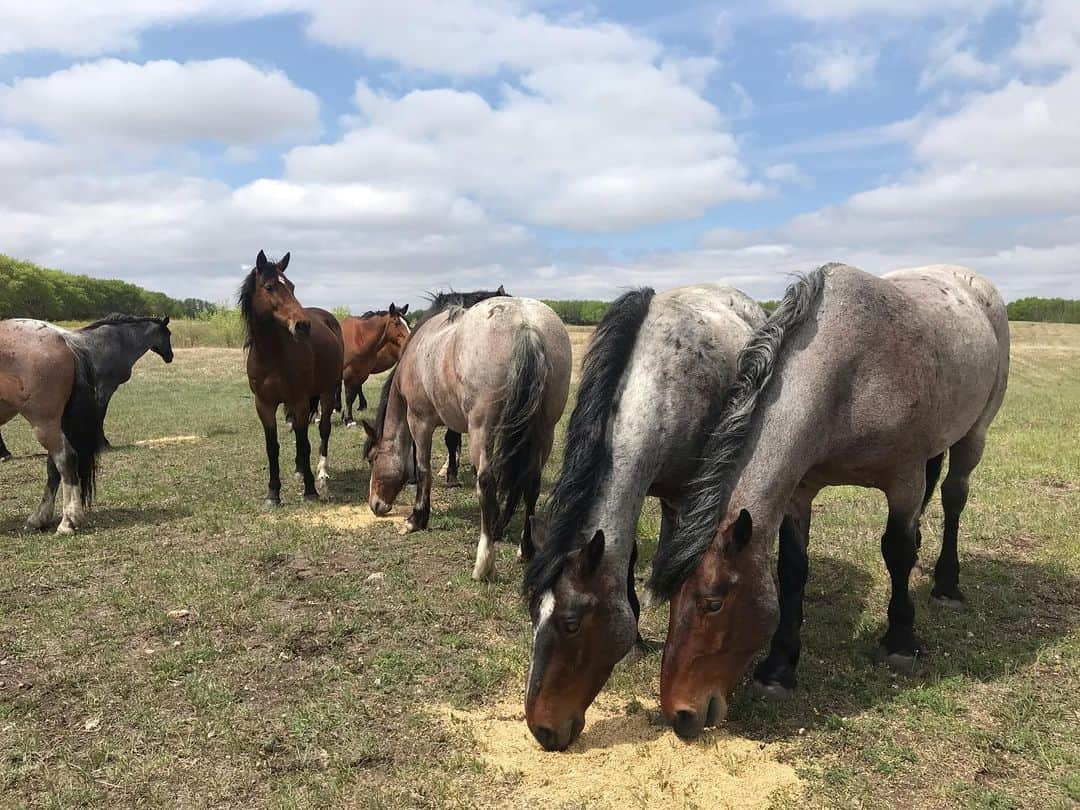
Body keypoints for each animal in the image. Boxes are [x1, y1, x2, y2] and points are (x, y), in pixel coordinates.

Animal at [0, 319, 105, 535]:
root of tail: (62, 337)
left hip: (44, 422)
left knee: (65, 460)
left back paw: (68, 521)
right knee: (53, 466)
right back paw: (39, 519)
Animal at [241, 250, 343, 505]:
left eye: (292, 286)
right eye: (269, 287)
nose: (303, 325)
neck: (272, 356)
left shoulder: (300, 400)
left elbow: (304, 443)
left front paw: (310, 490)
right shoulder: (264, 405)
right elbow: (272, 447)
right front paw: (273, 493)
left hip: (327, 393)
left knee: (323, 430)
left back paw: (321, 473)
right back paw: (298, 470)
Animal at [362, 291, 570, 583]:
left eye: (373, 459)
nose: (375, 505)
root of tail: (525, 326)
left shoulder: (420, 421)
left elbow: (423, 469)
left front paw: (416, 519)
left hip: (482, 429)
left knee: (487, 483)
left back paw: (484, 563)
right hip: (544, 430)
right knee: (531, 483)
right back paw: (525, 548)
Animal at [520, 287, 768, 756]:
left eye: (571, 624)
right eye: (532, 615)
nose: (540, 731)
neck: (659, 389)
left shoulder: (690, 492)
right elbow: (631, 556)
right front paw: (636, 641)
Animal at [648, 266, 1010, 743]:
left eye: (713, 602)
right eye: (671, 600)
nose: (680, 714)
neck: (850, 373)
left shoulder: (904, 480)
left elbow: (896, 551)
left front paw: (900, 641)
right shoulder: (800, 492)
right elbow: (792, 571)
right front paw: (779, 670)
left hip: (975, 434)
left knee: (953, 498)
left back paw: (947, 585)